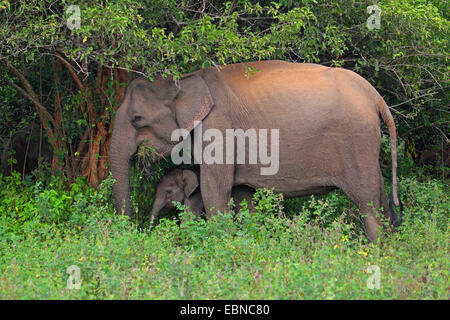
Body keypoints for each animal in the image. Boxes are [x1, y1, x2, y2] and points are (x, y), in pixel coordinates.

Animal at [110, 60, 404, 241]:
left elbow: (214, 189)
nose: (136, 231)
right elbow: (241, 195)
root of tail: (374, 95)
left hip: (356, 141)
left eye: (137, 119)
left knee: (367, 201)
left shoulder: (219, 128)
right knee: (379, 194)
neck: (184, 81)